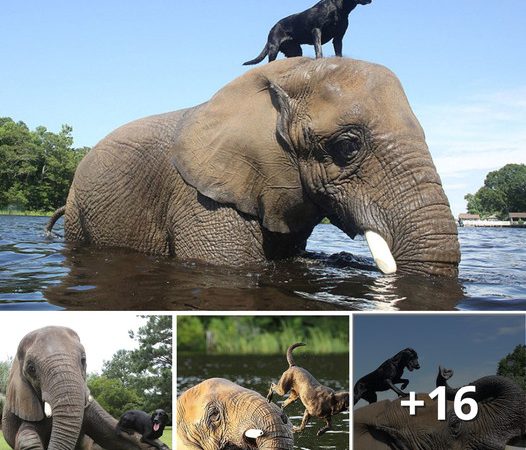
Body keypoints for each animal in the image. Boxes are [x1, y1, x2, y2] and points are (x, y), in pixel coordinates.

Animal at [243, 0, 372, 65]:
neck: (339, 8)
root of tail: (272, 28)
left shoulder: (338, 37)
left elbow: (338, 52)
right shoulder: (317, 30)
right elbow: (319, 49)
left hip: (296, 51)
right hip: (274, 48)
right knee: (269, 62)